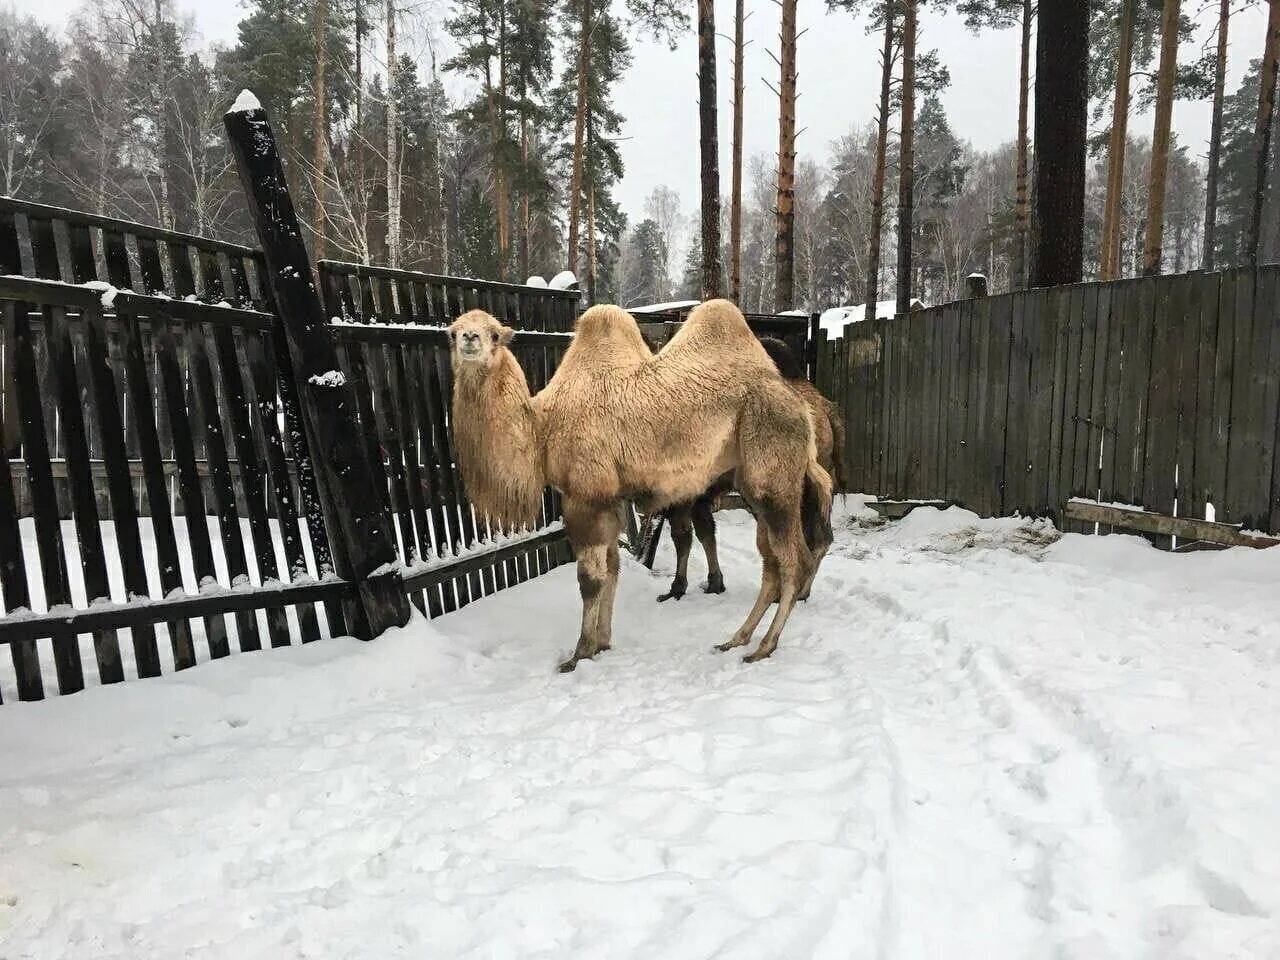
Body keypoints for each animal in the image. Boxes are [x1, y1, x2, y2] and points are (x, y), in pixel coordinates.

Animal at [450, 299, 839, 670]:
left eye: (494, 334)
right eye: (452, 332)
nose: (470, 338)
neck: (543, 426)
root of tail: (801, 407)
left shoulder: (584, 497)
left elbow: (590, 579)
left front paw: (578, 654)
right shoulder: (608, 500)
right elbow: (612, 569)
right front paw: (602, 644)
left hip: (773, 477)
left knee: (795, 559)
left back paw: (763, 647)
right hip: (755, 485)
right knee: (772, 563)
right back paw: (736, 639)